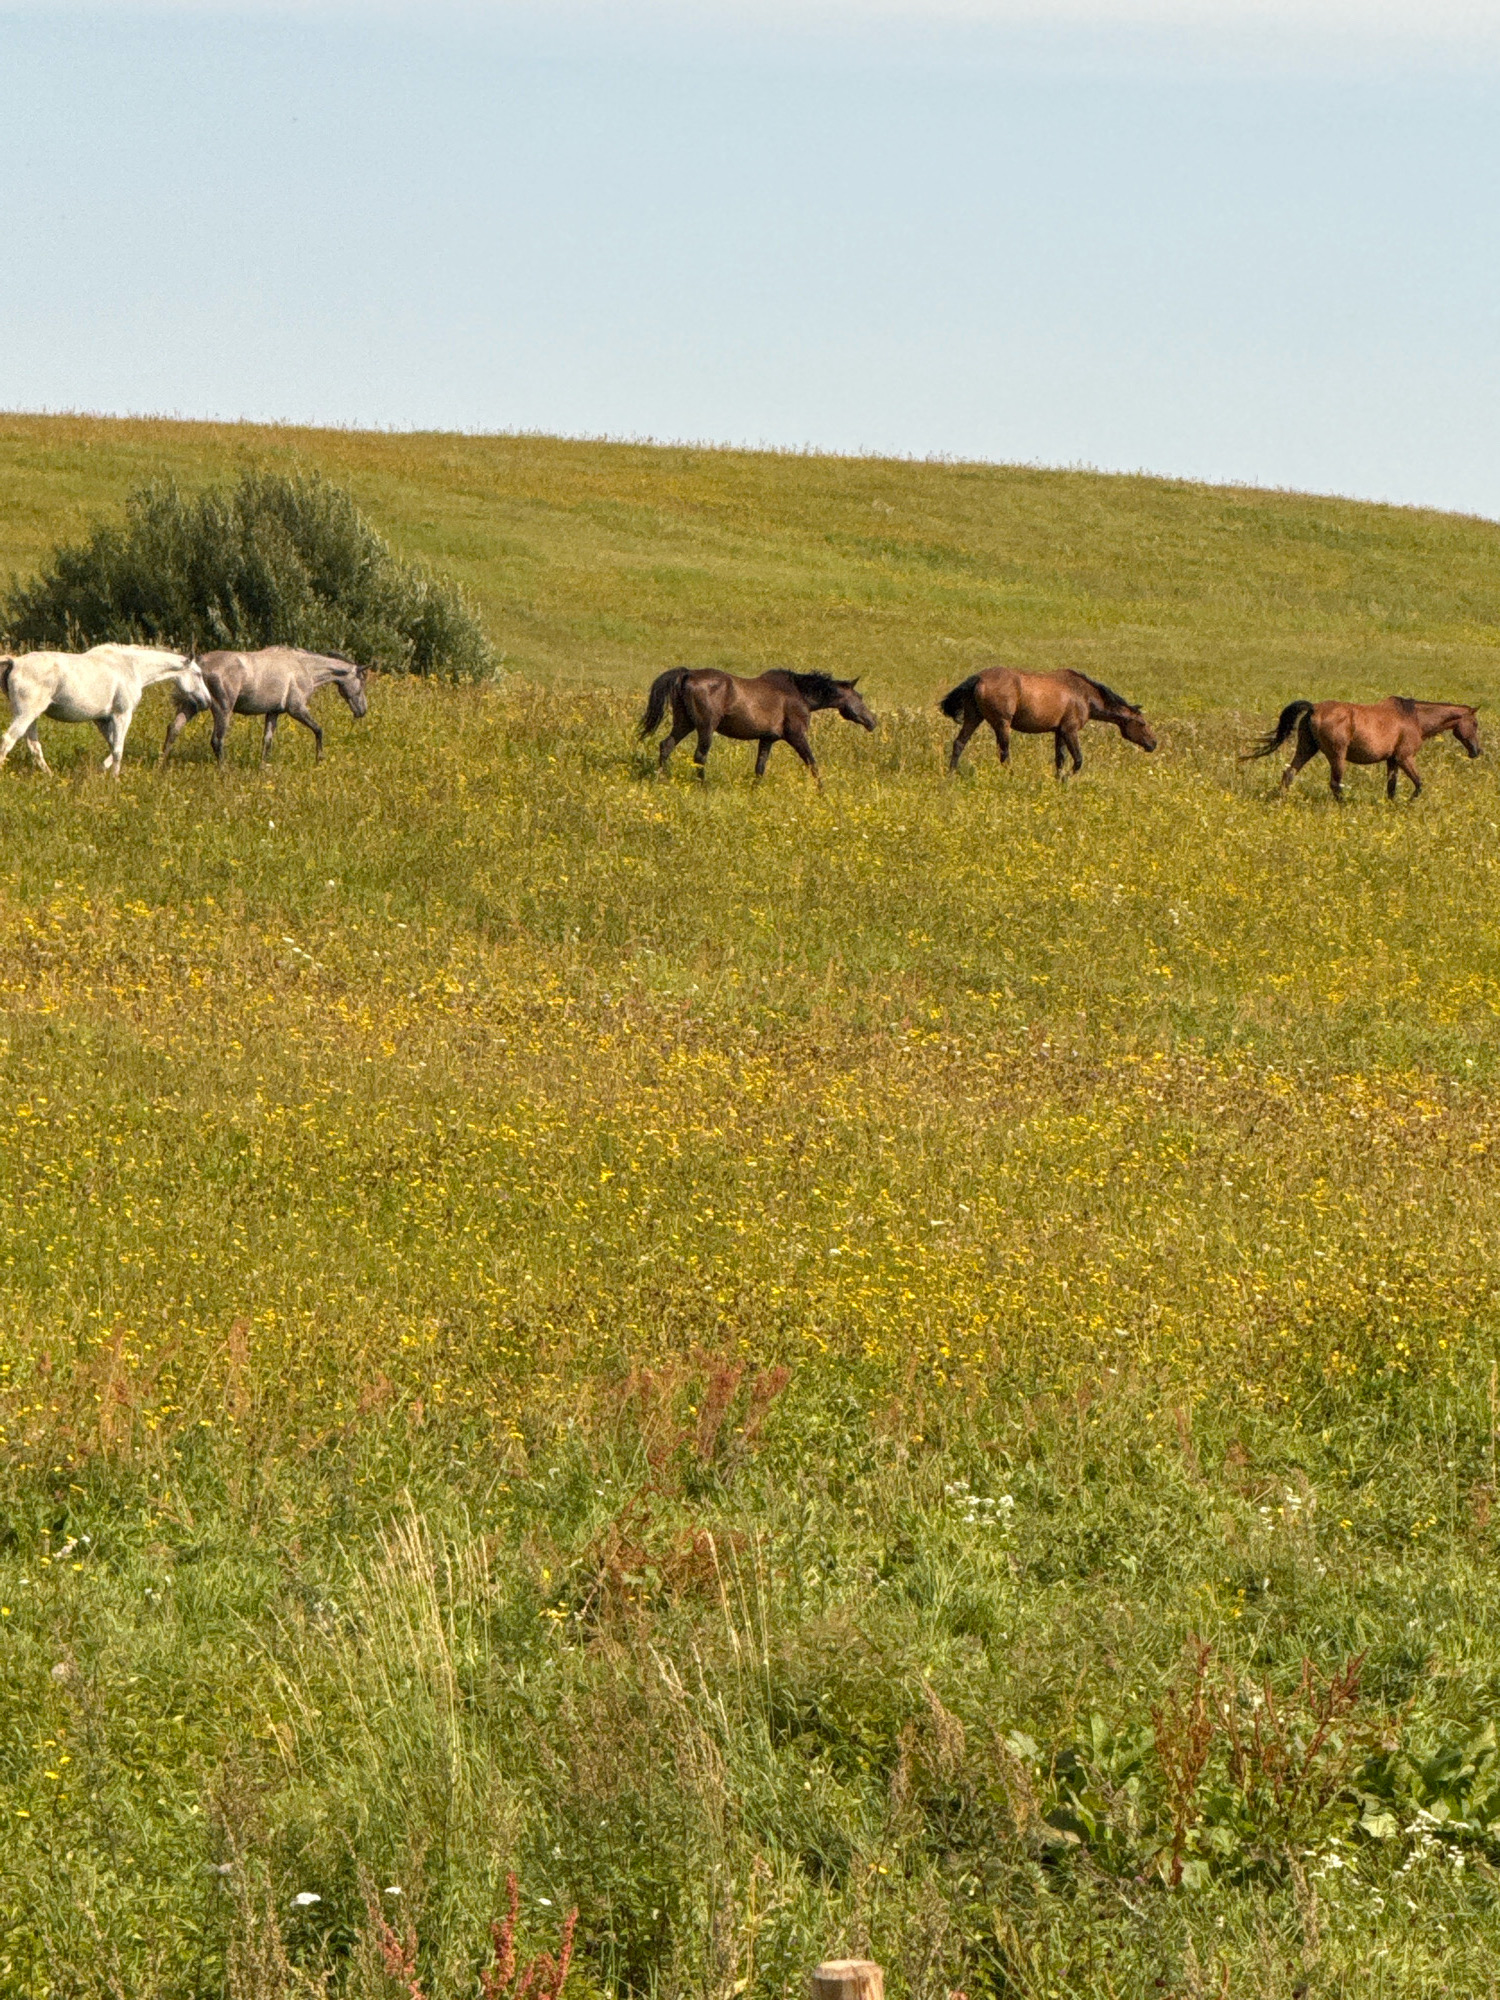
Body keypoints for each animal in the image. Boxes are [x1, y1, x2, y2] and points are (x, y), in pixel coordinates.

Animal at [0, 645, 209, 777]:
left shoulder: (102, 719)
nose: (206, 701)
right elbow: (118, 749)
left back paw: (50, 776)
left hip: (31, 717)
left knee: (34, 747)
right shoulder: (122, 715)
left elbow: (112, 745)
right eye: (198, 674)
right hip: (26, 715)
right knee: (8, 740)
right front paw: (114, 778)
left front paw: (102, 769)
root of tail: (15, 662)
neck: (131, 667)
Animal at [159, 647, 369, 765]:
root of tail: (201, 663)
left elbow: (267, 741)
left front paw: (263, 767)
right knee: (217, 740)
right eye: (362, 681)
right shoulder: (297, 709)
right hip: (223, 710)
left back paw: (162, 765)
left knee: (173, 729)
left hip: (191, 706)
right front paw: (320, 759)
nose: (362, 710)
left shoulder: (273, 712)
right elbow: (318, 730)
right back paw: (224, 771)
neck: (304, 667)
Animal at [638, 667, 876, 786]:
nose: (872, 721)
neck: (801, 695)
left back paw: (661, 778)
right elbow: (812, 763)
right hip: (705, 727)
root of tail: (687, 674)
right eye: (860, 697)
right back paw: (702, 785)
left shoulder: (767, 739)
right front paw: (822, 791)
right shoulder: (796, 735)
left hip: (683, 723)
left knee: (666, 745)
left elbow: (760, 767)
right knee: (699, 756)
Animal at [940, 665, 1157, 776]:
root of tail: (979, 678)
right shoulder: (1070, 730)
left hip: (973, 718)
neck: (1084, 695)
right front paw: (1067, 779)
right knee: (1004, 753)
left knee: (959, 743)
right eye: (1142, 724)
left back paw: (951, 774)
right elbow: (1078, 760)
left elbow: (1060, 759)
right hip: (1002, 724)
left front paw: (1059, 780)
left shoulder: (1059, 731)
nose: (1153, 743)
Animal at [1244, 696, 1482, 800]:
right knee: (1335, 784)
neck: (1414, 718)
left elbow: (1391, 788)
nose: (1476, 751)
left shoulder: (1392, 761)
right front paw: (1409, 803)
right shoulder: (1405, 758)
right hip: (1337, 756)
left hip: (1306, 749)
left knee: (1289, 774)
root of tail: (1313, 708)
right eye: (1475, 724)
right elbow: (1418, 784)